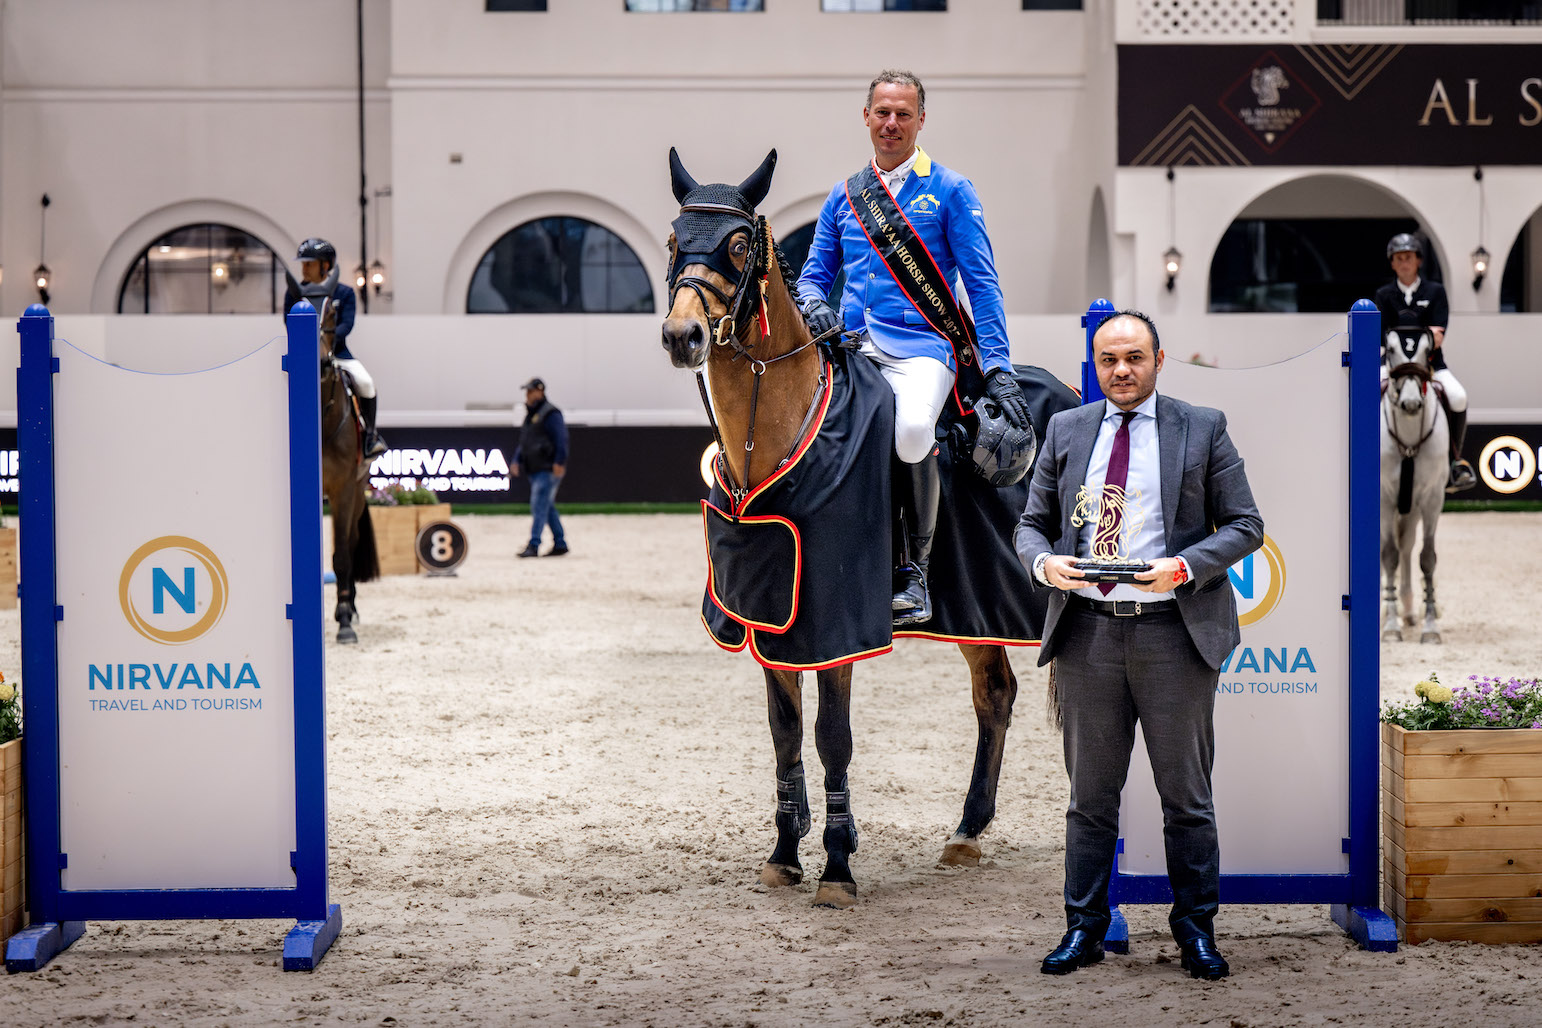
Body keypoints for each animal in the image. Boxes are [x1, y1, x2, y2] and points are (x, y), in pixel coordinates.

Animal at [659, 151, 1030, 906]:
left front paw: (836, 863)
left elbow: (833, 736)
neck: (770, 435)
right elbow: (784, 733)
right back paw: (968, 829)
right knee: (994, 692)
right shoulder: (771, 612)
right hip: (979, 614)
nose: (683, 337)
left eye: (738, 245)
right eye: (674, 240)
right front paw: (784, 850)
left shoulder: (835, 622)